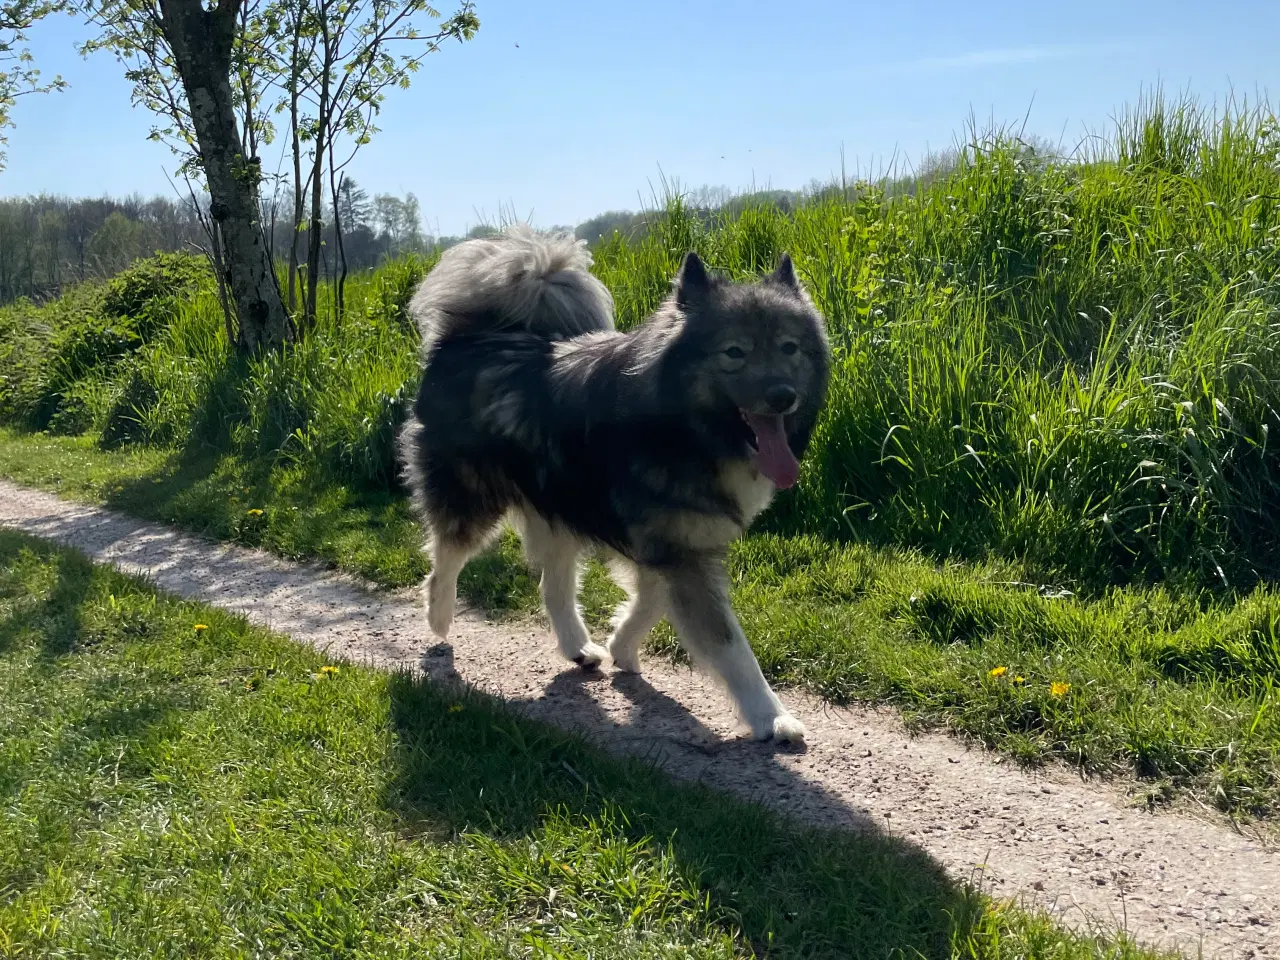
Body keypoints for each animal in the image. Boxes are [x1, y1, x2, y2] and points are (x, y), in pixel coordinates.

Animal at [404, 225, 834, 742]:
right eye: (735, 352)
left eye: (789, 348)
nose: (783, 396)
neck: (681, 428)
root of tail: (465, 338)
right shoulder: (680, 552)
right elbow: (730, 645)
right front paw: (771, 717)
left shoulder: (671, 545)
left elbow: (650, 602)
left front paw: (621, 647)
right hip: (474, 496)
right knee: (446, 555)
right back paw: (439, 618)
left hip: (557, 506)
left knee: (553, 585)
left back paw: (578, 647)